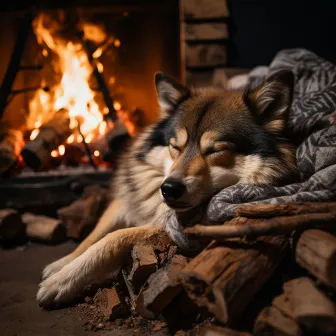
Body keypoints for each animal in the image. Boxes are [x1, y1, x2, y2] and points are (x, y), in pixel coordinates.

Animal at [36, 70, 296, 308]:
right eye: (175, 146)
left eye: (216, 150)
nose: (169, 188)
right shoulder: (125, 202)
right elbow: (93, 235)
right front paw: (62, 264)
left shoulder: (175, 229)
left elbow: (112, 239)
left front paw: (60, 282)